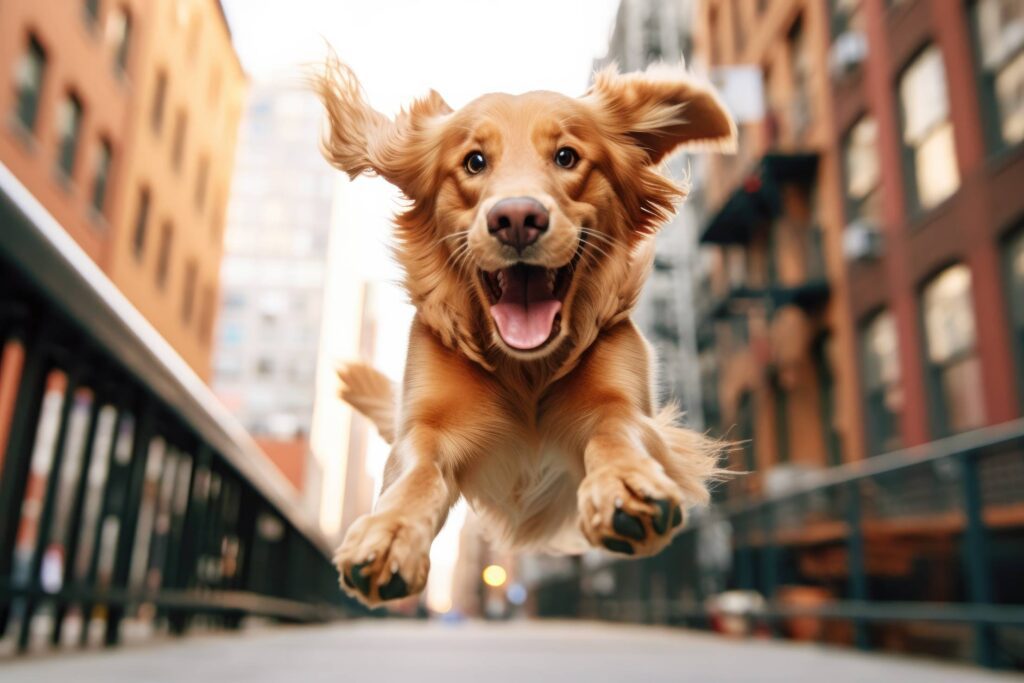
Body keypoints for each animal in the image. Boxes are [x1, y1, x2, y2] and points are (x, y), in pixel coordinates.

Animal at [315, 56, 733, 606]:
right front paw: (389, 533)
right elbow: (417, 475)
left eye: (566, 156)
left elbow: (615, 434)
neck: (527, 371)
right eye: (474, 162)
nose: (517, 218)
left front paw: (624, 484)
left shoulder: (623, 403)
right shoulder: (425, 426)